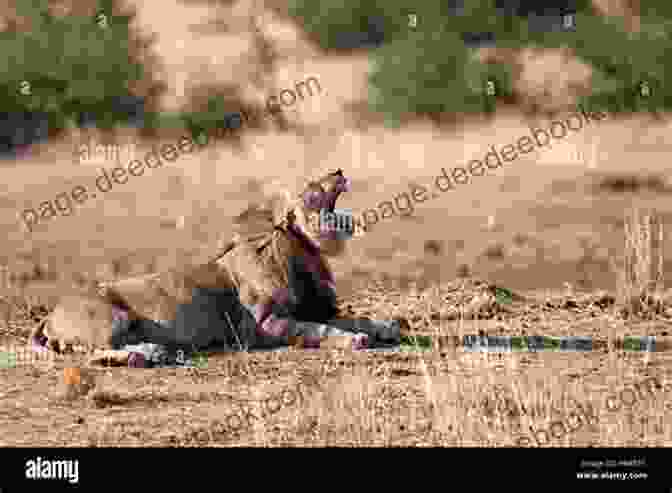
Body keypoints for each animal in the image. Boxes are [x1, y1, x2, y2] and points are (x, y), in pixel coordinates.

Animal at [31, 169, 400, 366]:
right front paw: (353, 340)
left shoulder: (316, 307)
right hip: (112, 316)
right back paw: (151, 352)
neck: (304, 252)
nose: (339, 173)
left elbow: (355, 317)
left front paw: (386, 327)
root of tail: (49, 315)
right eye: (311, 190)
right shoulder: (264, 326)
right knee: (94, 352)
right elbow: (318, 330)